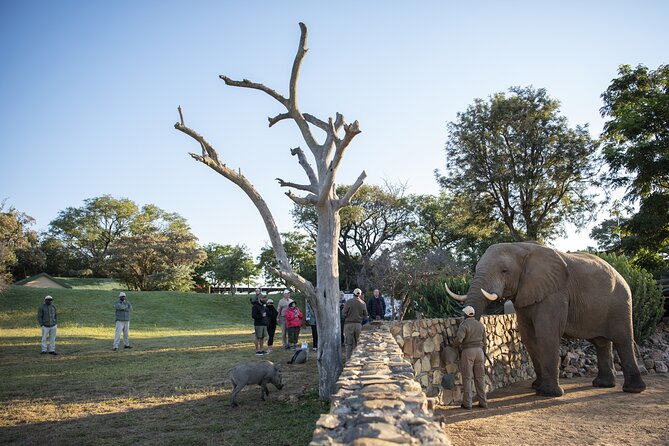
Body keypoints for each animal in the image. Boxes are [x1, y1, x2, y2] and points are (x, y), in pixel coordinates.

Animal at [445, 242, 646, 397]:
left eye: (504, 271)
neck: (520, 247)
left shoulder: (555, 293)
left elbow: (546, 333)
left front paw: (548, 393)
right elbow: (529, 336)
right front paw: (537, 387)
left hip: (621, 302)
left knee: (623, 340)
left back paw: (633, 390)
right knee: (601, 342)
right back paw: (603, 384)